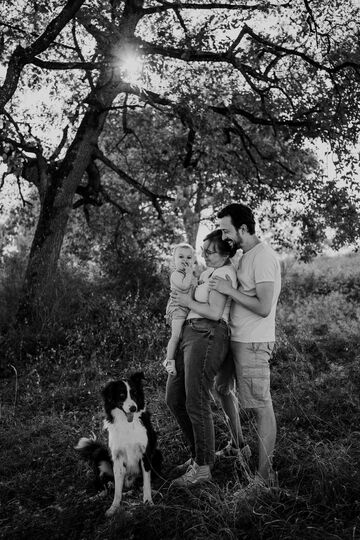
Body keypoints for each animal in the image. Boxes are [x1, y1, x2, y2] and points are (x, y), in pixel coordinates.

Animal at [75, 372, 162, 516]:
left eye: (134, 393)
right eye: (122, 395)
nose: (133, 408)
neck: (127, 424)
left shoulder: (145, 454)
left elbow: (146, 482)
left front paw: (148, 501)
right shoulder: (117, 457)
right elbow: (117, 491)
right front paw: (114, 508)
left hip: (157, 455)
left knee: (139, 484)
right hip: (101, 456)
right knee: (107, 486)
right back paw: (96, 497)